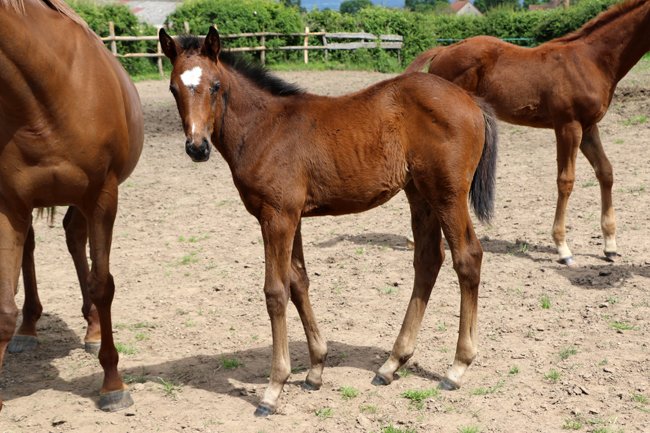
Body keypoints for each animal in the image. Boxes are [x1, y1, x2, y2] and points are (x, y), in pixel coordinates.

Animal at [0, 0, 144, 411]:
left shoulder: (102, 197)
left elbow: (102, 285)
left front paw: (113, 384)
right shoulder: (10, 204)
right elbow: (4, 305)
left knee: (75, 240)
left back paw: (93, 329)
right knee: (34, 248)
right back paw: (29, 328)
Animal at [159, 27, 498, 416]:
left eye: (215, 86)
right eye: (173, 88)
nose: (197, 147)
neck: (264, 128)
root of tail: (471, 100)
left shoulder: (276, 217)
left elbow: (275, 291)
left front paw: (274, 388)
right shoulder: (292, 217)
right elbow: (298, 282)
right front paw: (315, 370)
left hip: (447, 195)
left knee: (467, 257)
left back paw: (456, 368)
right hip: (419, 195)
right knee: (428, 259)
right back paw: (392, 363)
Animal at [406, 0, 650, 266]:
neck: (591, 60)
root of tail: (442, 50)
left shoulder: (588, 128)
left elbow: (605, 172)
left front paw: (610, 246)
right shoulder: (568, 126)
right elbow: (565, 181)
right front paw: (563, 248)